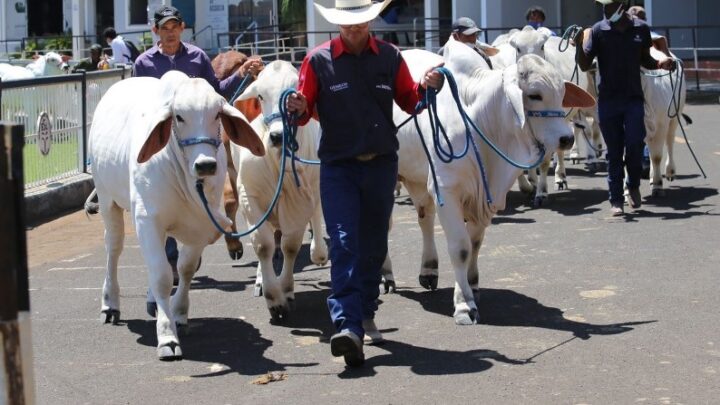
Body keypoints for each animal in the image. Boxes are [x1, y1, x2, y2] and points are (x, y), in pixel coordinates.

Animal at [90, 70, 264, 360]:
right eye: (179, 117)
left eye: (217, 115)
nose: (205, 165)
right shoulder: (147, 219)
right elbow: (161, 276)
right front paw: (167, 336)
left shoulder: (202, 223)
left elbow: (185, 269)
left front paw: (179, 315)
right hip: (107, 199)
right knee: (113, 249)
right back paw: (110, 304)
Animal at [231, 60, 326, 320]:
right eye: (260, 96)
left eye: (294, 95)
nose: (277, 135)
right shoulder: (250, 197)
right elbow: (263, 245)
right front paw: (273, 297)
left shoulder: (301, 198)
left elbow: (290, 246)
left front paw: (286, 290)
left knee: (316, 215)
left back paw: (319, 252)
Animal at [394, 42, 592, 324]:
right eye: (534, 95)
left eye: (562, 94)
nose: (567, 139)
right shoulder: (446, 188)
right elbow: (461, 247)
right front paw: (464, 305)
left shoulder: (485, 196)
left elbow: (475, 243)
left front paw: (473, 285)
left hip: (417, 178)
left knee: (425, 218)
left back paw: (429, 269)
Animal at [640, 47, 688, 196]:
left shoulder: (661, 125)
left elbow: (656, 157)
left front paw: (657, 185)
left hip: (674, 117)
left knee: (670, 141)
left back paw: (670, 171)